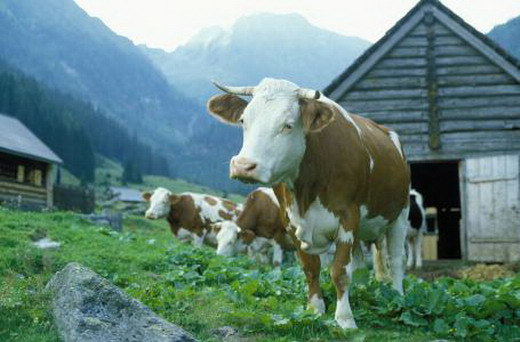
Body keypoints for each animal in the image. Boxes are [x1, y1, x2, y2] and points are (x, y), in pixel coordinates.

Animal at [207, 77, 410, 328]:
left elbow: (340, 271)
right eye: (244, 120)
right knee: (360, 265)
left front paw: (345, 319)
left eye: (287, 125)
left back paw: (398, 298)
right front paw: (315, 309)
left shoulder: (348, 216)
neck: (306, 193)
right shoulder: (290, 222)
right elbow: (311, 268)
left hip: (400, 214)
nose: (243, 166)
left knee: (396, 260)